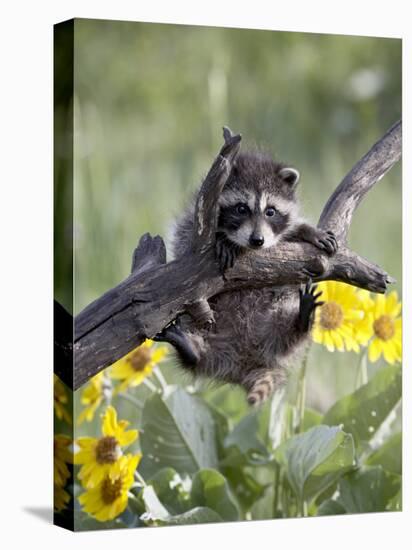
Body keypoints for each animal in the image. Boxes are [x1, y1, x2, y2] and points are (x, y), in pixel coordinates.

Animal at [156, 149, 336, 408]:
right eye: (241, 209)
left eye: (270, 211)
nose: (257, 240)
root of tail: (244, 363)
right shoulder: (192, 224)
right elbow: (186, 240)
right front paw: (223, 240)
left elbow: (294, 231)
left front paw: (308, 230)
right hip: (203, 327)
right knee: (197, 351)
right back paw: (190, 349)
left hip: (274, 325)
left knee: (289, 332)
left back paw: (302, 319)